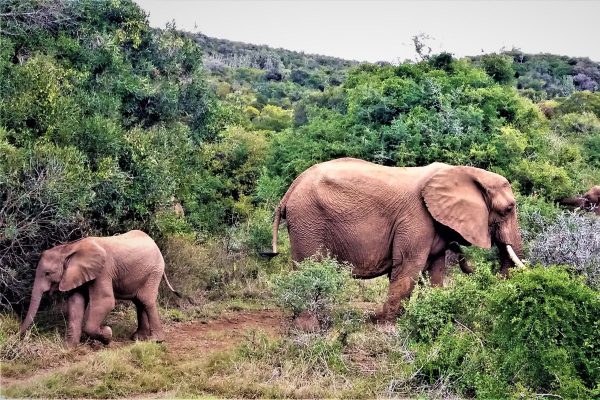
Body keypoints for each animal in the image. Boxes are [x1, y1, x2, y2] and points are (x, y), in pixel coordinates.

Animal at [19, 230, 180, 346]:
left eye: (47, 273)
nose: (19, 335)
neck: (69, 248)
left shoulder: (103, 271)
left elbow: (105, 302)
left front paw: (107, 335)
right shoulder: (78, 273)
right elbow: (75, 302)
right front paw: (69, 347)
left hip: (154, 270)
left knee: (146, 300)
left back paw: (156, 340)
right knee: (139, 301)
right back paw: (138, 338)